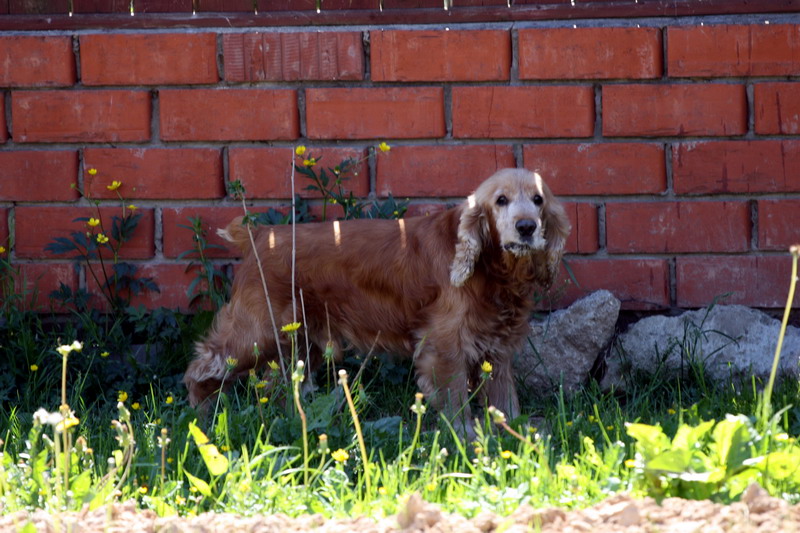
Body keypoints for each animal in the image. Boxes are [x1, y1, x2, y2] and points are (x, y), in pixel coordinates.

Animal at [183, 168, 568, 434]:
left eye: (538, 200)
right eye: (501, 200)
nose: (526, 227)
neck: (492, 268)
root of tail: (260, 234)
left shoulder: (497, 350)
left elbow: (504, 399)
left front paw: (514, 432)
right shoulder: (445, 346)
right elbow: (456, 400)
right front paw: (466, 438)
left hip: (299, 340)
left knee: (279, 384)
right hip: (257, 330)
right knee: (202, 366)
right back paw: (202, 419)